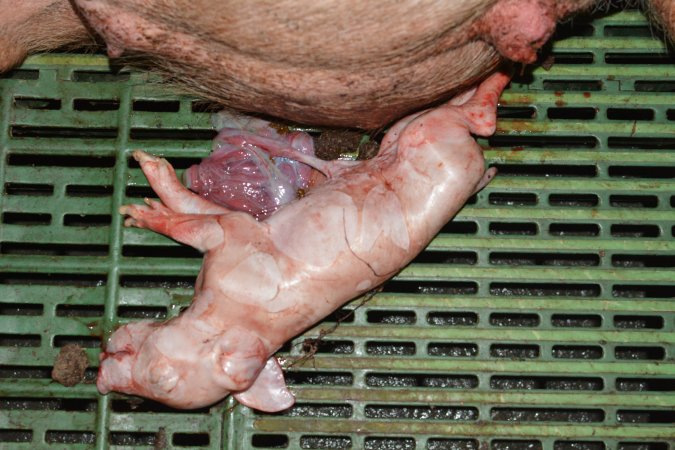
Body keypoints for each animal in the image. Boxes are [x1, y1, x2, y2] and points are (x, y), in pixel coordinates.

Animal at [97, 70, 511, 411]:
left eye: (158, 381)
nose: (101, 380)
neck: (230, 317)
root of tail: (477, 160)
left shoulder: (235, 241)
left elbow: (199, 219)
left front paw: (146, 196)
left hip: (436, 140)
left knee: (475, 121)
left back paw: (498, 80)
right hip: (404, 136)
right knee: (431, 117)